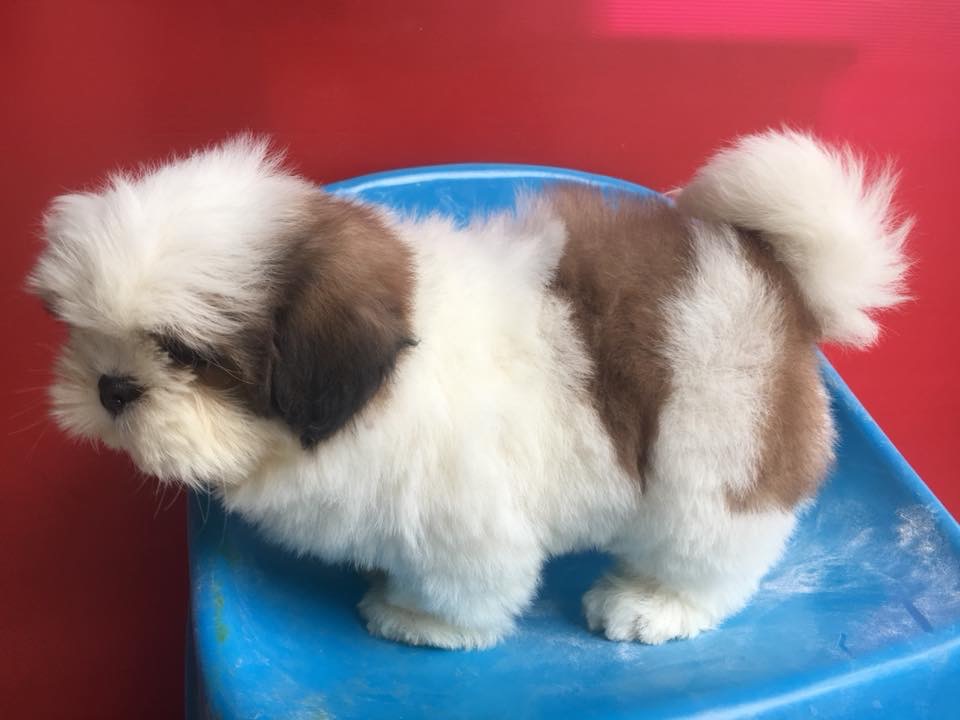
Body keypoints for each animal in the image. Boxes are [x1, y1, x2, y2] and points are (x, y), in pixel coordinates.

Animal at [28, 131, 910, 648]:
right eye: (83, 331)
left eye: (188, 355)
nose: (112, 386)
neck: (376, 389)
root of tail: (778, 274)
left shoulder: (463, 516)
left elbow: (466, 585)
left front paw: (417, 618)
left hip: (716, 452)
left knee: (716, 551)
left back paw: (653, 602)